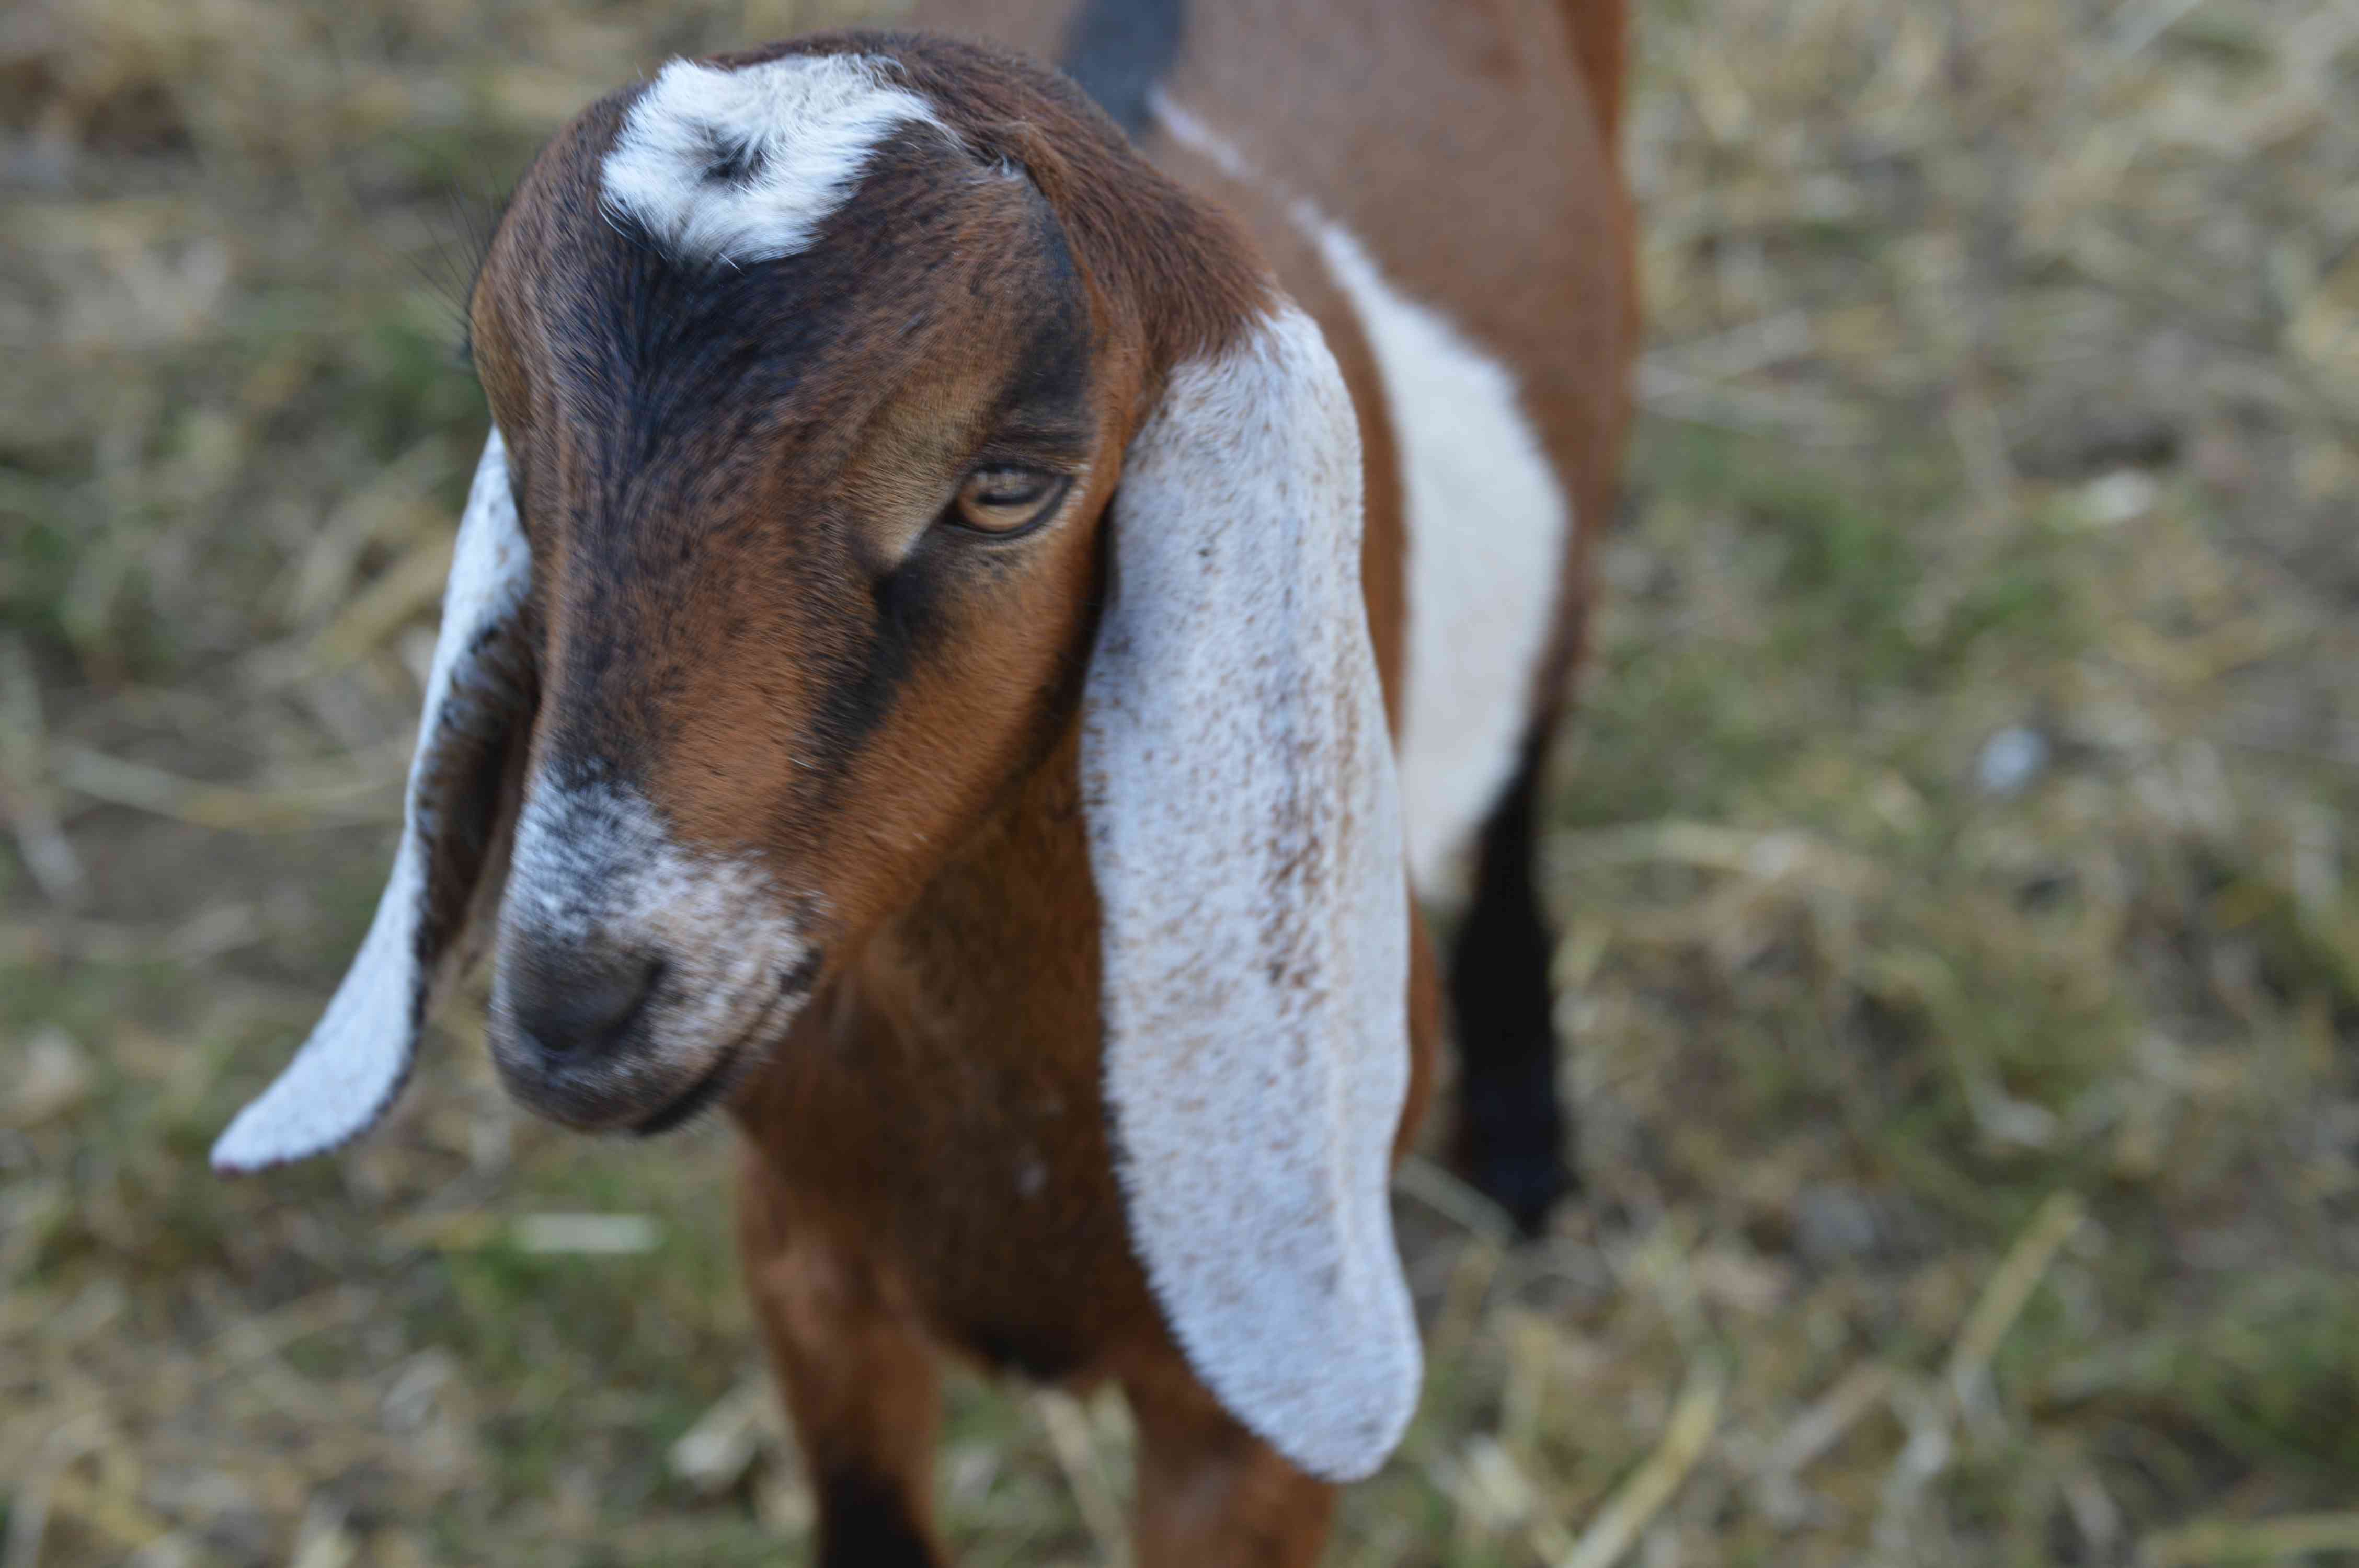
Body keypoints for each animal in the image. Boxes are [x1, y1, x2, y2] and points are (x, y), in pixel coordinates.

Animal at [212, 6, 1632, 1556]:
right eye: (522, 446)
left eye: (1007, 486)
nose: (574, 1011)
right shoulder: (805, 1265)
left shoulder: (1244, 1419)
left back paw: (1529, 1138)